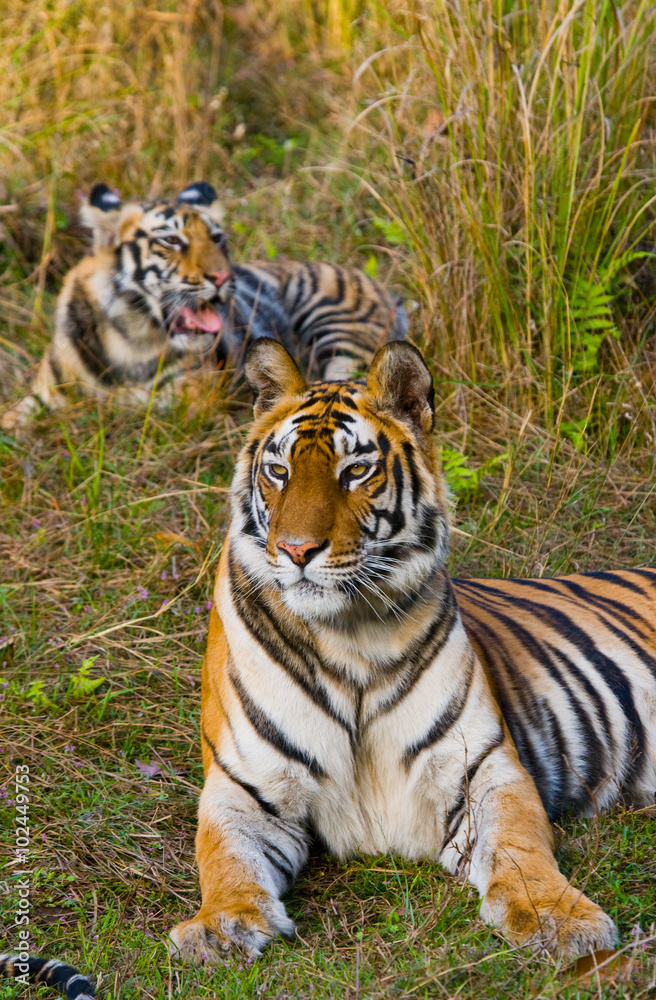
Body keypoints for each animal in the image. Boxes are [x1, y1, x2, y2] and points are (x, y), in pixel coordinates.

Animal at [1, 182, 407, 431]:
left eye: (217, 238)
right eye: (171, 241)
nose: (223, 277)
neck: (128, 339)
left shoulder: (186, 401)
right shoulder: (41, 394)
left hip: (338, 331)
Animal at [168, 338, 655, 965]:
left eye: (355, 471)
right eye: (278, 471)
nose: (296, 551)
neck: (347, 636)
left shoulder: (482, 766)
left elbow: (521, 848)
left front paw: (559, 918)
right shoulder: (243, 786)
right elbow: (223, 857)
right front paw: (220, 926)